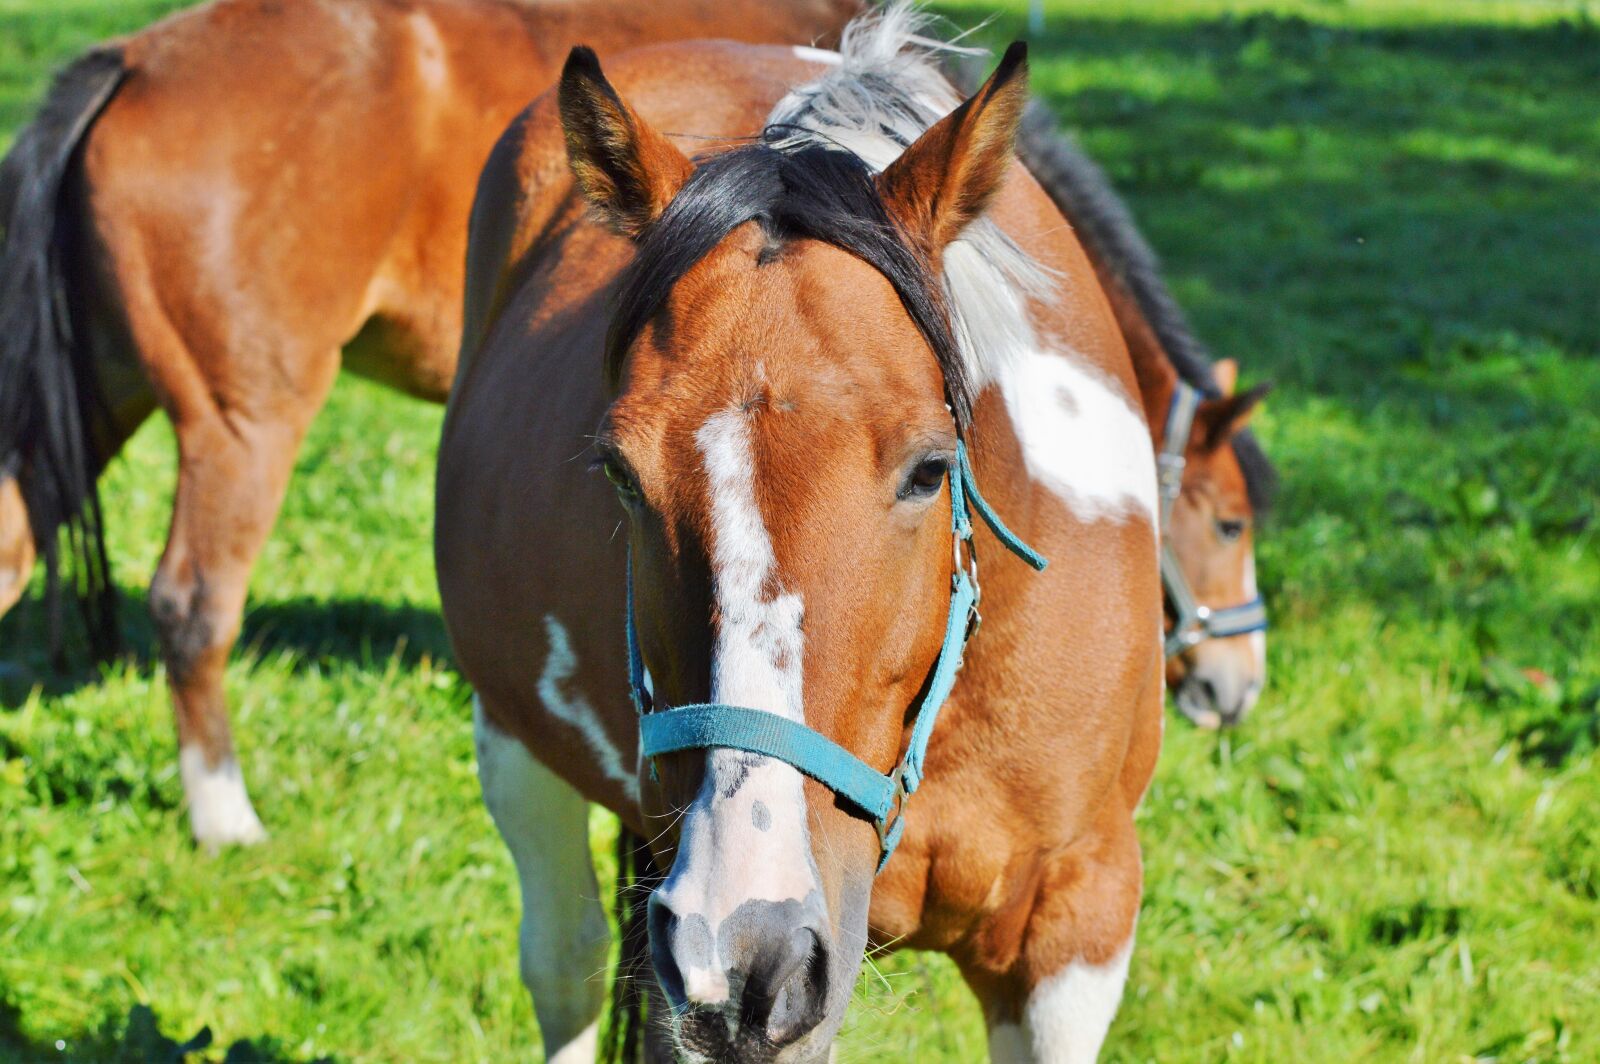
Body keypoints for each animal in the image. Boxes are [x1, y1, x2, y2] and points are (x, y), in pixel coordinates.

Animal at [436, 10, 1164, 1060]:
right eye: (619, 472)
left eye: (930, 470)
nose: (741, 949)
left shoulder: (1076, 928)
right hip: (517, 750)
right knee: (563, 961)